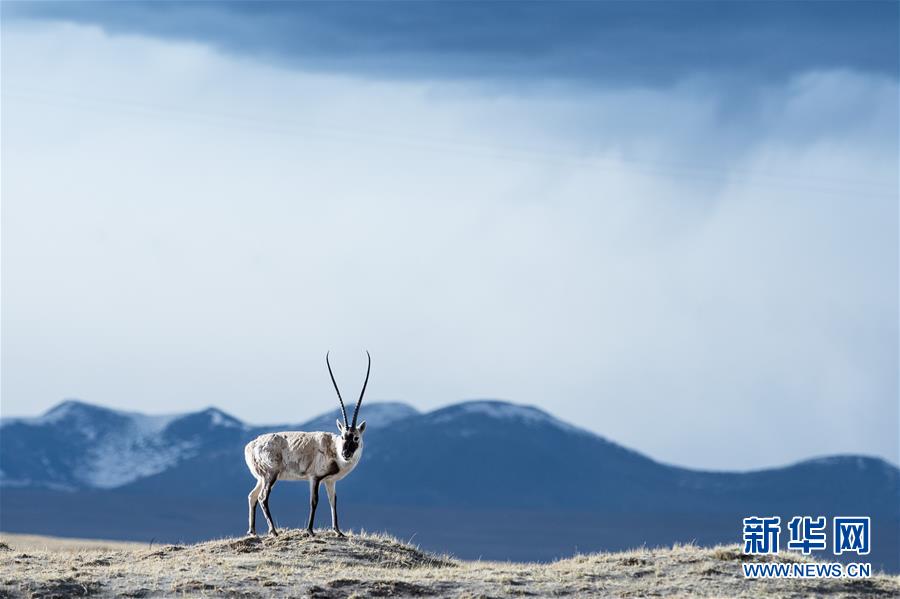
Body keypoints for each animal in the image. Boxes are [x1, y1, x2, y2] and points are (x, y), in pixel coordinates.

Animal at [243, 352, 370, 540]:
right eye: (343, 436)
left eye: (355, 437)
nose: (346, 453)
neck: (333, 448)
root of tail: (251, 446)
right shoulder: (314, 478)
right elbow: (314, 501)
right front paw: (310, 531)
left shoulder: (330, 481)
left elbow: (333, 501)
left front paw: (338, 531)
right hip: (271, 475)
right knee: (262, 497)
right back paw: (273, 531)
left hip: (261, 477)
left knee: (252, 496)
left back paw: (252, 531)